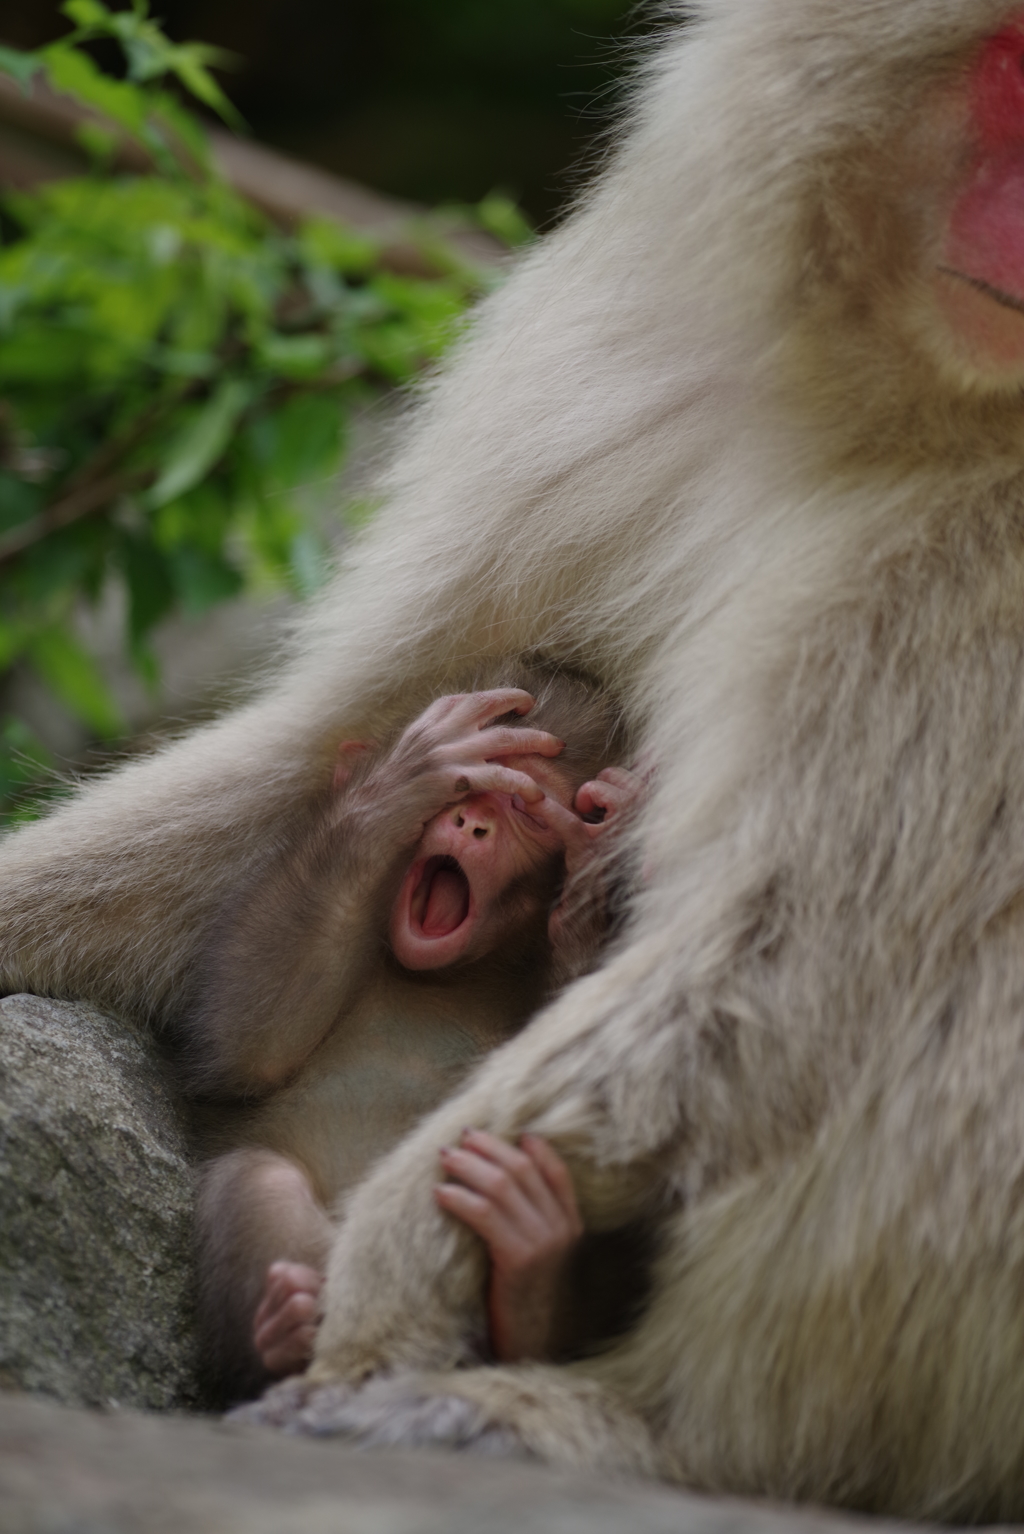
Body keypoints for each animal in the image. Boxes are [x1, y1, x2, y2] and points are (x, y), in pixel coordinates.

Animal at [189, 668, 640, 1405]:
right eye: (470, 788)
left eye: (526, 808)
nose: (471, 822)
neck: (450, 976)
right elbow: (247, 1045)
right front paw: (404, 780)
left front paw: (594, 878)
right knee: (260, 1176)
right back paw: (287, 1337)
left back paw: (527, 1261)